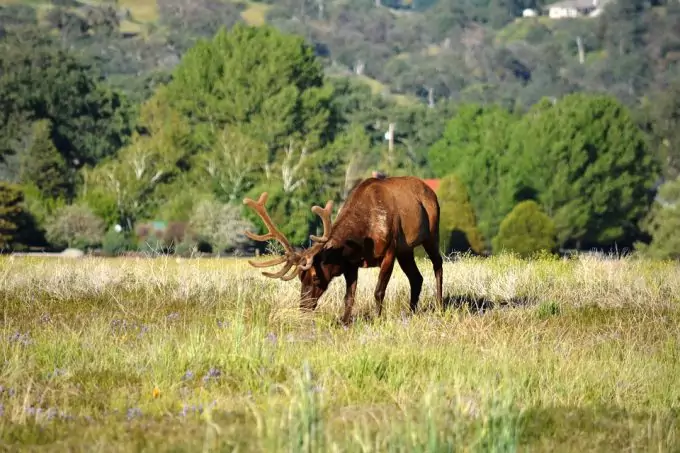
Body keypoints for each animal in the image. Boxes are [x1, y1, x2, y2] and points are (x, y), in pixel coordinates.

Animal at [242, 174, 444, 324]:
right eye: (300, 277)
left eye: (315, 277)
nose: (303, 307)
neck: (364, 237)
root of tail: (430, 191)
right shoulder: (351, 263)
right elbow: (349, 296)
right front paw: (344, 321)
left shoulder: (390, 251)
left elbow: (378, 291)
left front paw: (377, 319)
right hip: (406, 250)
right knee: (416, 278)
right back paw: (411, 312)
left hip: (431, 233)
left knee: (438, 264)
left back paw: (440, 306)